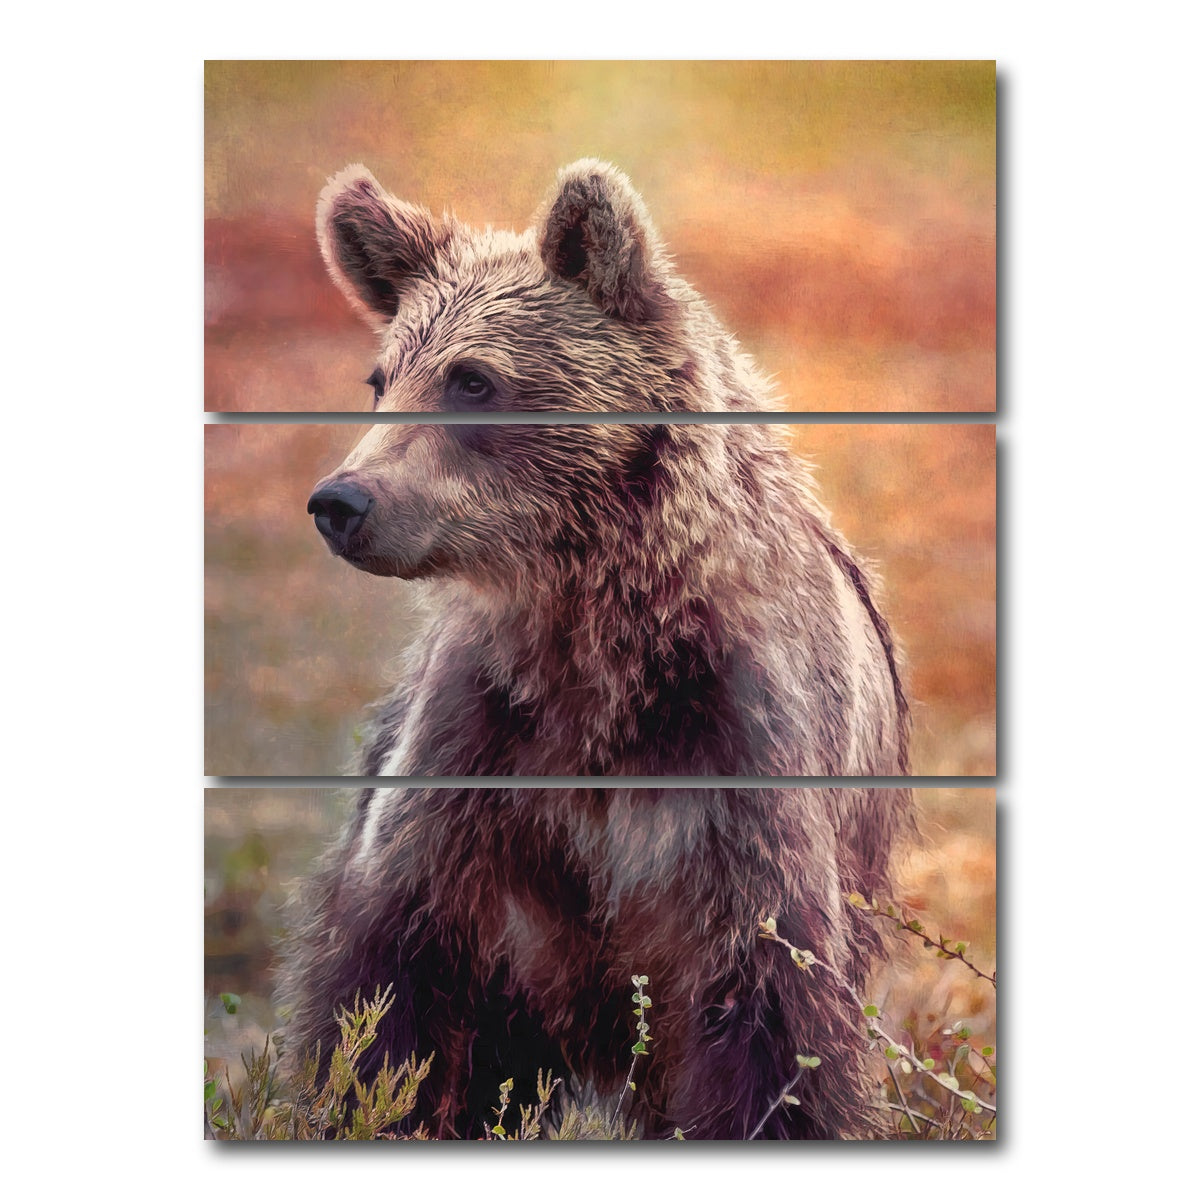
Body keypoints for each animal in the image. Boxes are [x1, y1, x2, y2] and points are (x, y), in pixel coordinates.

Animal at [285, 160, 911, 1139]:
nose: (342, 501)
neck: (595, 644)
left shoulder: (736, 765)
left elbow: (772, 1026)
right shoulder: (478, 757)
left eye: (472, 379)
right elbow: (392, 994)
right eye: (381, 377)